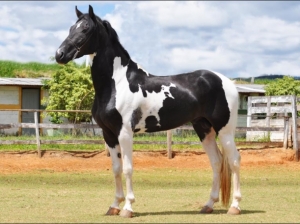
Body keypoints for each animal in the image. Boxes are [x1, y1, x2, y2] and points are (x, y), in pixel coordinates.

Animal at [54, 4, 241, 219]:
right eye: (71, 28)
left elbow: (127, 169)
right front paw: (114, 206)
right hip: (204, 129)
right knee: (217, 162)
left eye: (85, 29)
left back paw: (235, 206)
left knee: (234, 160)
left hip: (225, 130)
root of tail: (226, 81)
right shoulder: (108, 134)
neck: (117, 83)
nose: (59, 54)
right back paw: (208, 205)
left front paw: (128, 208)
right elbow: (116, 169)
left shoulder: (125, 133)